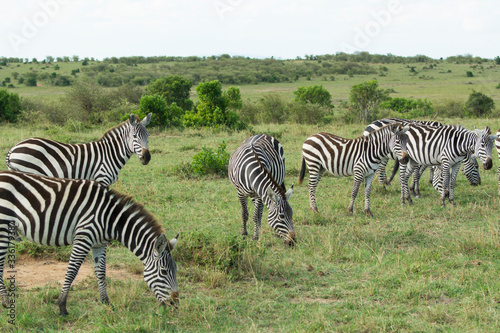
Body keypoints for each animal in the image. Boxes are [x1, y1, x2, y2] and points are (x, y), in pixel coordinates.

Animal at [0, 170, 179, 316]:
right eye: (164, 272)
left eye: (176, 270)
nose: (175, 304)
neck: (110, 218)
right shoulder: (83, 237)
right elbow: (72, 271)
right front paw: (62, 306)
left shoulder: (99, 243)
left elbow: (101, 272)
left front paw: (107, 303)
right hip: (3, 225)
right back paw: (6, 302)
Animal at [5, 113, 151, 187]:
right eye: (134, 136)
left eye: (148, 135)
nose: (147, 158)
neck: (110, 154)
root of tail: (13, 149)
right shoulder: (101, 179)